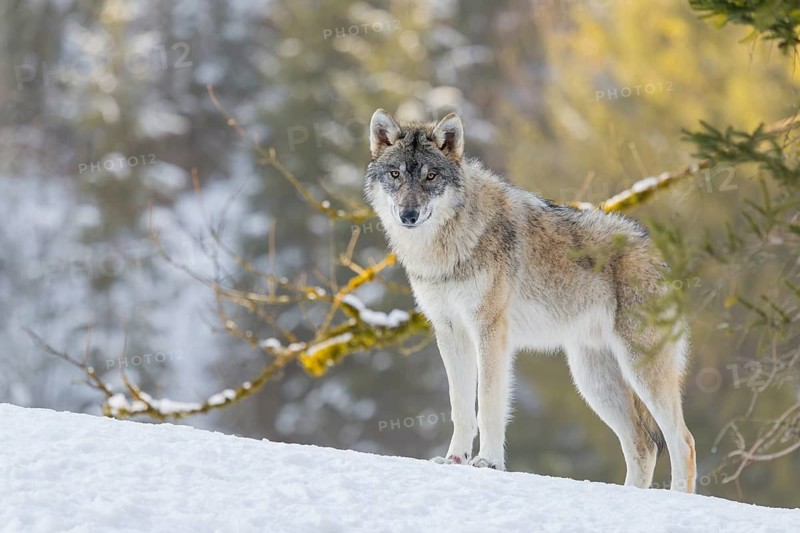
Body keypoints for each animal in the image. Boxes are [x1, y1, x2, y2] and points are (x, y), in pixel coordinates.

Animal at [363, 109, 697, 492]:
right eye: (395, 175)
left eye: (430, 176)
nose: (409, 215)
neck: (447, 246)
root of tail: (658, 254)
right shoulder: (450, 332)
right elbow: (460, 406)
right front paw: (454, 461)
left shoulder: (490, 331)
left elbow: (488, 403)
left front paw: (488, 463)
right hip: (593, 380)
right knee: (643, 445)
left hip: (640, 370)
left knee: (683, 442)